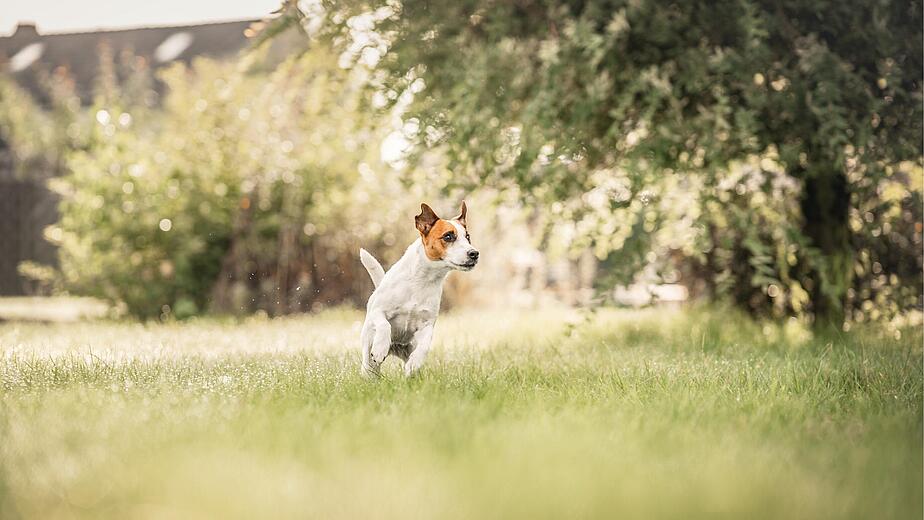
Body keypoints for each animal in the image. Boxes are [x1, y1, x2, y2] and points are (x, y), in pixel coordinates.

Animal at [360, 201, 480, 376]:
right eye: (448, 236)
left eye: (468, 237)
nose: (474, 253)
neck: (421, 281)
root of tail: (395, 347)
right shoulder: (378, 310)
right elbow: (384, 325)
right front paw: (380, 348)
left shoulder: (427, 324)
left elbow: (425, 345)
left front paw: (415, 363)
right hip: (368, 350)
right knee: (369, 365)